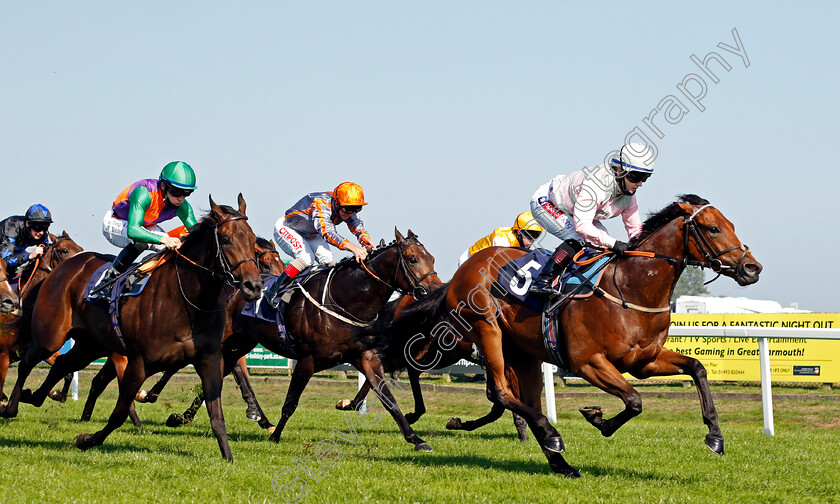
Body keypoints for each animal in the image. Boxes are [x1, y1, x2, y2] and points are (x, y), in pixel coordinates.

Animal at [0, 232, 84, 402]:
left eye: (80, 248)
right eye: (64, 250)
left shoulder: (41, 348)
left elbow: (67, 372)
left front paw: (57, 394)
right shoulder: (3, 355)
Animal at [380, 195, 760, 478]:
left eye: (731, 225)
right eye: (712, 228)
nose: (752, 268)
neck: (631, 286)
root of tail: (460, 274)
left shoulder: (643, 361)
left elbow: (697, 368)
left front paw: (715, 436)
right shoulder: (587, 362)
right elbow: (634, 400)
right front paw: (598, 418)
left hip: (522, 352)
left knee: (520, 399)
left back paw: (560, 461)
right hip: (486, 329)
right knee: (499, 391)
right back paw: (552, 436)